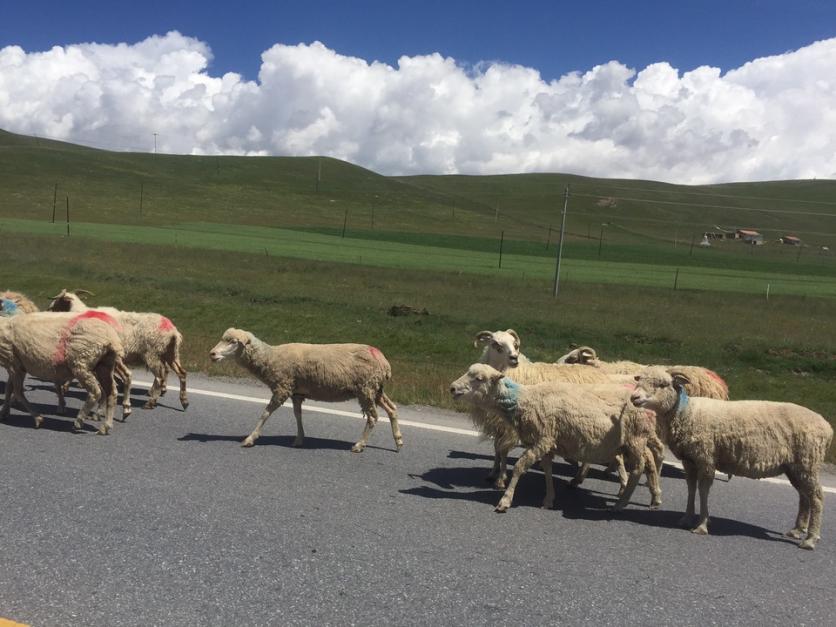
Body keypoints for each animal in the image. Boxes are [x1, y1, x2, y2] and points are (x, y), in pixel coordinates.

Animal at [47, 290, 189, 418]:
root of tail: (173, 331)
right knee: (181, 373)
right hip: (171, 354)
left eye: (58, 300)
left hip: (152, 354)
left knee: (160, 377)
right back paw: (184, 401)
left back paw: (151, 402)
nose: (48, 309)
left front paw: (67, 387)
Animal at [211, 328, 404, 456]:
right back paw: (398, 441)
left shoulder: (283, 387)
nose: (212, 354)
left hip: (366, 389)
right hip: (375, 389)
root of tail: (383, 360)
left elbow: (266, 413)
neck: (271, 357)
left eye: (233, 342)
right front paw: (299, 439)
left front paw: (250, 438)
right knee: (392, 409)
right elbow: (298, 415)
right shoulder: (296, 392)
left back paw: (359, 445)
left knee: (373, 417)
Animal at [450, 364, 660, 516]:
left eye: (479, 379)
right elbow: (548, 471)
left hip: (635, 438)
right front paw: (549, 499)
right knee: (649, 461)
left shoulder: (543, 439)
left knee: (639, 468)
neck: (525, 399)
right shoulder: (547, 443)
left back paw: (621, 503)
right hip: (634, 440)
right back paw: (655, 497)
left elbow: (519, 467)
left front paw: (505, 500)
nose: (452, 388)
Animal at [632, 368, 832, 548]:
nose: (634, 398)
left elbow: (703, 490)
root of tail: (827, 427)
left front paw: (702, 525)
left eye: (662, 384)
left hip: (807, 462)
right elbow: (691, 488)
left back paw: (810, 539)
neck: (686, 412)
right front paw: (687, 518)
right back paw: (797, 530)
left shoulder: (706, 458)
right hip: (795, 467)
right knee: (804, 496)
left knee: (816, 497)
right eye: (639, 380)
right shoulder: (689, 460)